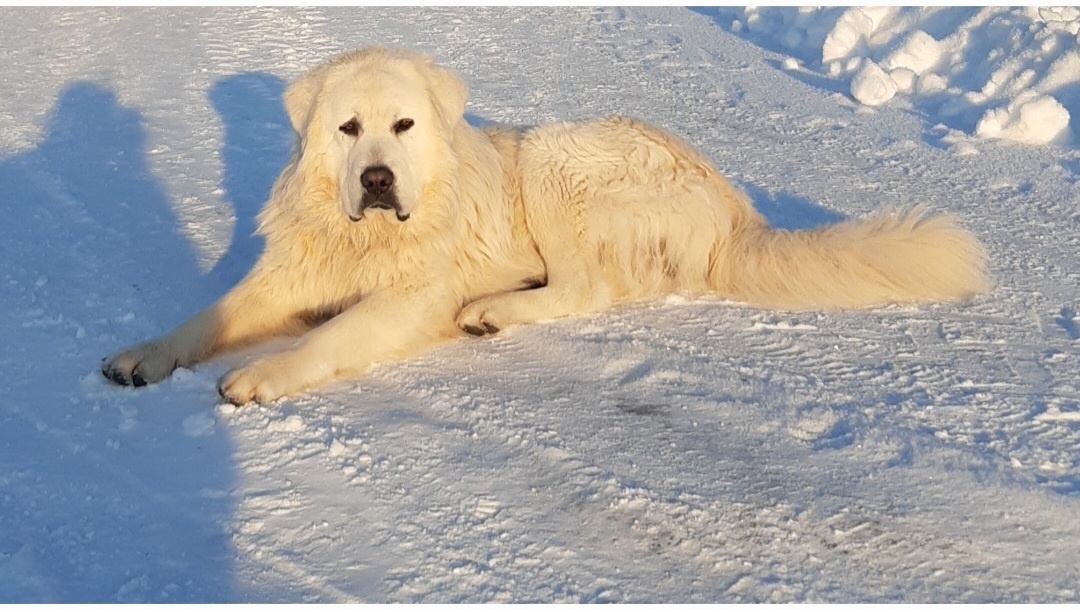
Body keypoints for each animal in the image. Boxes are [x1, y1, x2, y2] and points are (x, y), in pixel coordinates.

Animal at [101, 45, 989, 401]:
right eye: (348, 130)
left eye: (404, 126)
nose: (378, 180)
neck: (374, 232)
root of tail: (734, 204)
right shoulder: (289, 276)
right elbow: (203, 320)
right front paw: (141, 355)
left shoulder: (408, 299)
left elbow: (329, 335)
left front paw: (262, 375)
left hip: (553, 159)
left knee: (585, 288)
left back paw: (493, 310)